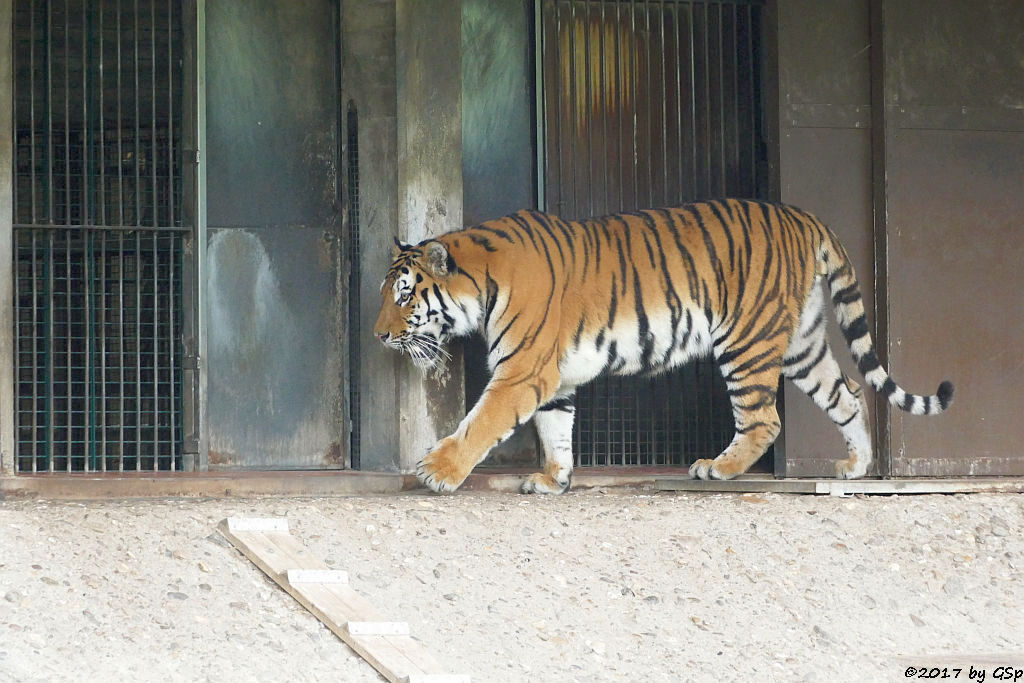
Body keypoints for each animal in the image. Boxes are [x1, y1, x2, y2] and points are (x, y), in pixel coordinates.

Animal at [374, 200, 950, 493]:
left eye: (404, 295)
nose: (379, 334)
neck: (483, 281)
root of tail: (803, 217)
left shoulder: (522, 371)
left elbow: (480, 422)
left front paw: (438, 471)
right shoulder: (552, 378)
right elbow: (556, 429)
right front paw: (554, 479)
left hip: (747, 340)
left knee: (764, 420)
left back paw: (717, 468)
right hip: (801, 344)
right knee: (848, 392)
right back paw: (855, 468)